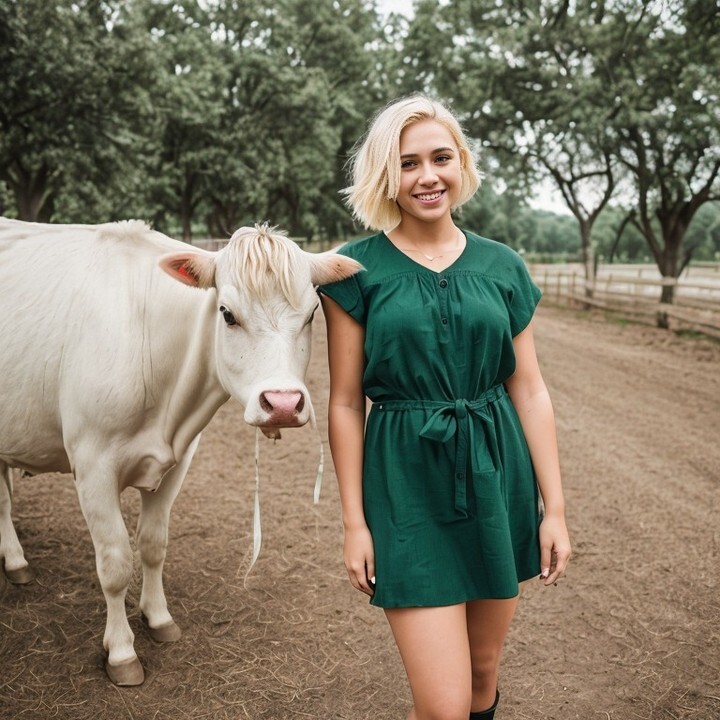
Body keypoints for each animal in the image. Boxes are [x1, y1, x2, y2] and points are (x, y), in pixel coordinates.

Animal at [0, 218, 360, 688]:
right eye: (227, 314)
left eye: (313, 313)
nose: (282, 403)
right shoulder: (92, 464)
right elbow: (115, 563)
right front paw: (121, 651)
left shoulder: (179, 460)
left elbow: (154, 544)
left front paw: (158, 618)